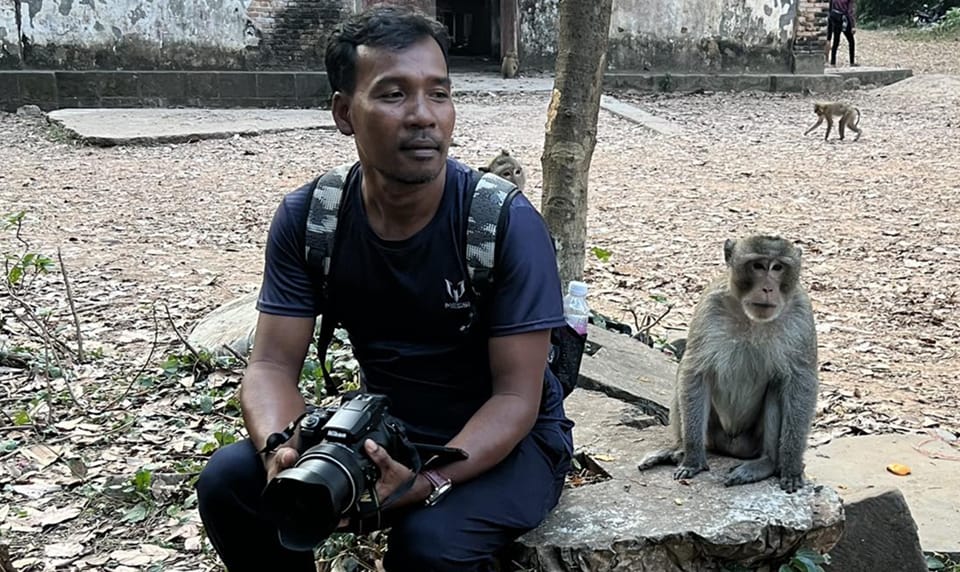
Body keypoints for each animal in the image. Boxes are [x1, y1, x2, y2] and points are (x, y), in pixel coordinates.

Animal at [637, 235, 819, 493]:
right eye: (758, 266)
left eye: (778, 268)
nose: (767, 288)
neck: (752, 319)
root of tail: (731, 447)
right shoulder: (710, 303)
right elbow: (695, 371)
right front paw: (692, 458)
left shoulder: (802, 313)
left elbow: (801, 382)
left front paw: (792, 466)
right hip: (714, 434)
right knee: (684, 375)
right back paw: (680, 449)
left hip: (751, 442)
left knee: (777, 387)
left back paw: (767, 463)